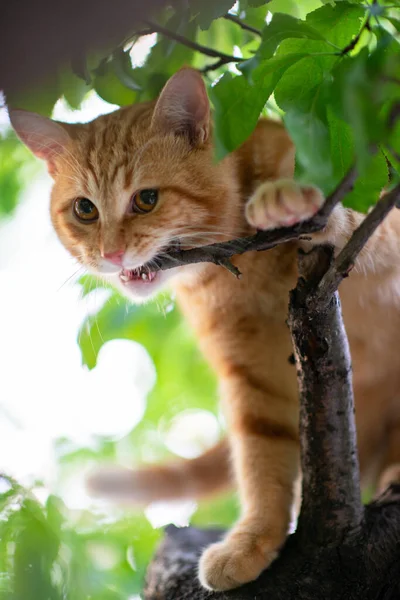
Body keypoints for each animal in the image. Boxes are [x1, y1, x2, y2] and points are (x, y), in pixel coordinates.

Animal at [9, 68, 400, 588]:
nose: (112, 254)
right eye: (84, 210)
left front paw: (292, 199)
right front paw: (255, 538)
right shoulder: (250, 376)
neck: (249, 270)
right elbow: (261, 456)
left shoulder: (385, 229)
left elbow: (355, 215)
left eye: (146, 199)